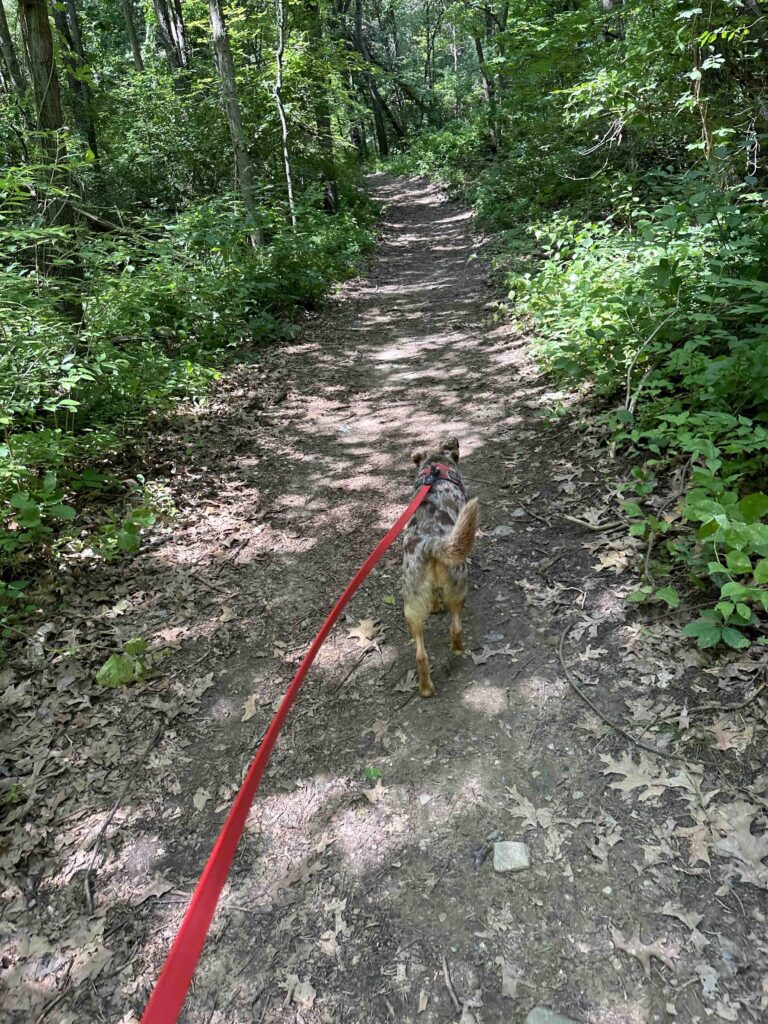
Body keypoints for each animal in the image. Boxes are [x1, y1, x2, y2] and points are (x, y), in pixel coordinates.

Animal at [403, 436, 481, 700]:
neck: (436, 468)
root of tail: (430, 543)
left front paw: (436, 607)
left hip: (412, 606)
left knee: (420, 655)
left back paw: (426, 688)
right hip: (459, 588)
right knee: (455, 627)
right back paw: (458, 649)